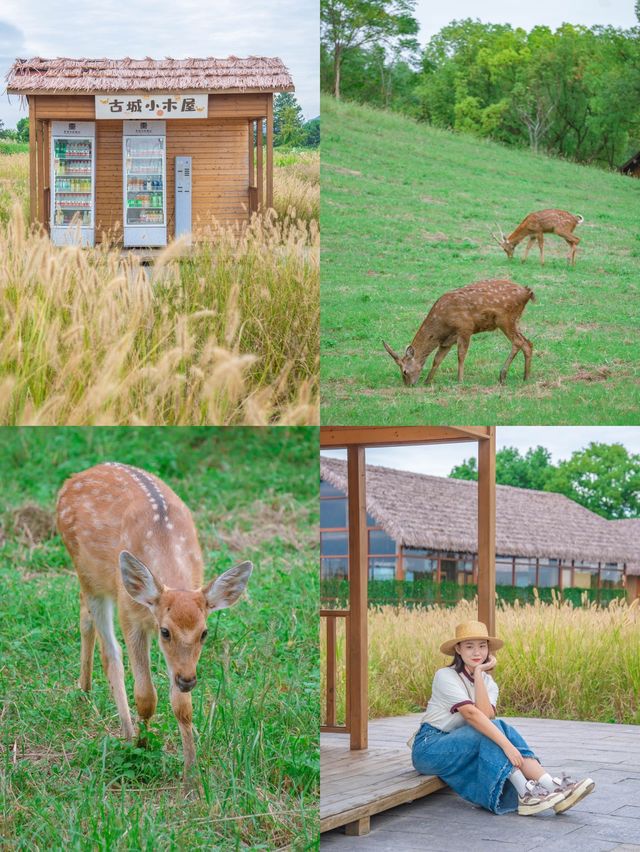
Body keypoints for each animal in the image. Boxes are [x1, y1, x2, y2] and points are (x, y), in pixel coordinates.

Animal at [56, 462, 252, 784]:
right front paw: (142, 745)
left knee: (84, 615)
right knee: (109, 651)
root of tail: (73, 479)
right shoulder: (131, 615)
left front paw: (191, 775)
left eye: (204, 633)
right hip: (87, 572)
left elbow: (183, 707)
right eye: (165, 631)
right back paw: (123, 730)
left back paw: (84, 689)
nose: (188, 680)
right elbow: (146, 696)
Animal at [382, 280, 532, 386]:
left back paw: (506, 376)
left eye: (404, 371)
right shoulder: (447, 341)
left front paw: (460, 380)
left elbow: (461, 355)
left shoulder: (465, 328)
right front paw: (427, 381)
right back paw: (523, 377)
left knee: (519, 342)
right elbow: (437, 359)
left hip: (505, 319)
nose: (408, 385)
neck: (442, 324)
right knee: (527, 343)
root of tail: (527, 292)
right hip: (515, 321)